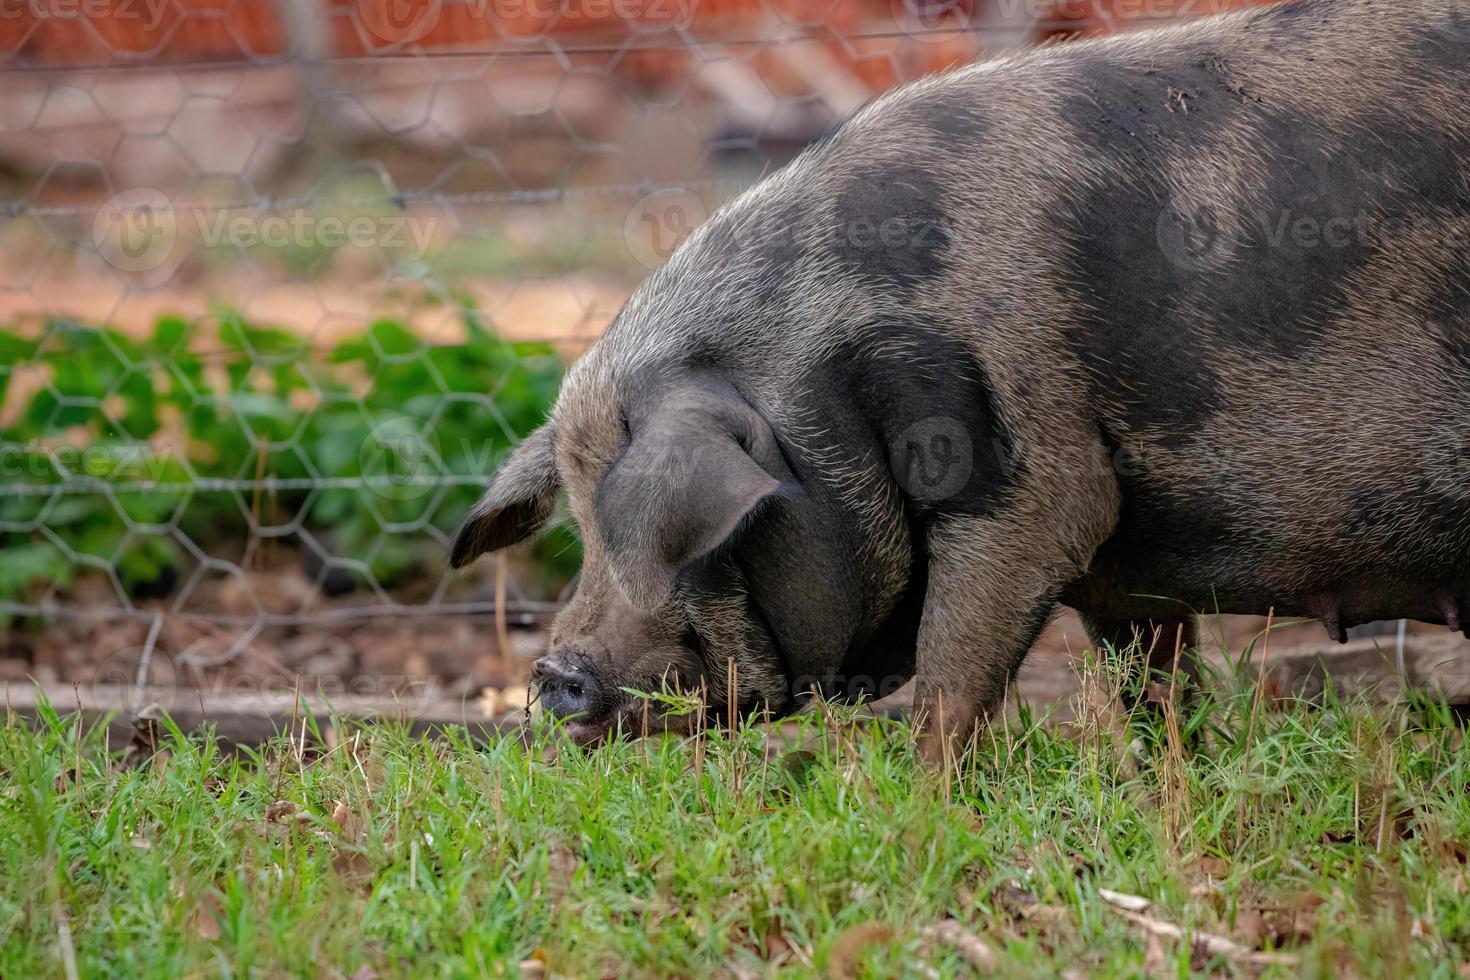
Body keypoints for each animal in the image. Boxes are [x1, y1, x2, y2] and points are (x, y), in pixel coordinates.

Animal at [446, 0, 1470, 764]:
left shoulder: (1040, 487)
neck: (823, 375)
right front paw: (1164, 777)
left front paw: (924, 792)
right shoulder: (1120, 555)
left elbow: (954, 668)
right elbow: (1149, 678)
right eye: (579, 524)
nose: (551, 675)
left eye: (696, 546)